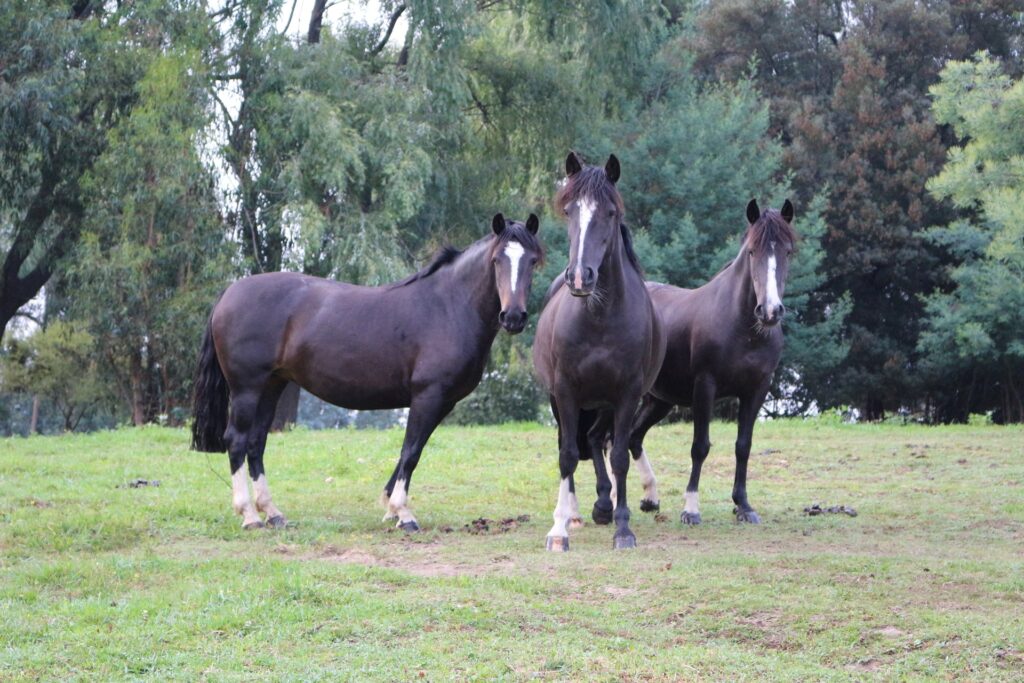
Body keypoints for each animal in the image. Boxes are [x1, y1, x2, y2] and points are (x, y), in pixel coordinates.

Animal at [192, 211, 544, 528]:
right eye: (497, 260)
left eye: (533, 262)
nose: (513, 317)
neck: (448, 306)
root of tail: (229, 293)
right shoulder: (428, 396)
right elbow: (411, 451)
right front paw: (403, 514)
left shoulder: (442, 401)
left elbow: (410, 450)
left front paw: (390, 508)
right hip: (247, 388)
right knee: (237, 440)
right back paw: (249, 515)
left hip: (272, 385)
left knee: (256, 442)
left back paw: (273, 512)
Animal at [532, 152, 667, 552]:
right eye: (569, 210)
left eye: (610, 212)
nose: (580, 277)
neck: (599, 317)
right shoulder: (564, 392)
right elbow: (566, 455)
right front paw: (558, 531)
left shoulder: (627, 394)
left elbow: (619, 456)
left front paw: (622, 527)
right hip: (564, 401)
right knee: (574, 445)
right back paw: (575, 512)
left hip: (604, 402)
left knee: (595, 439)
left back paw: (605, 505)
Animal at [610, 200, 794, 528]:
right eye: (752, 251)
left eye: (787, 251)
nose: (770, 311)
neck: (742, 327)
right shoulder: (705, 387)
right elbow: (700, 447)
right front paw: (691, 509)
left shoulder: (756, 390)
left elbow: (743, 446)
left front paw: (743, 505)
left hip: (659, 400)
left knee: (633, 438)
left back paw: (650, 498)